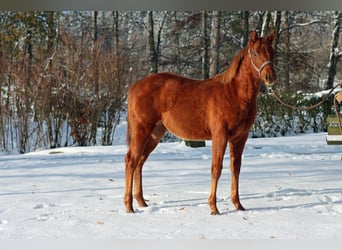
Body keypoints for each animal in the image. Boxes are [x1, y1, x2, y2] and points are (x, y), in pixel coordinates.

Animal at [124, 30, 276, 215]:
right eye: (255, 53)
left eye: (272, 52)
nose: (270, 77)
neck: (233, 93)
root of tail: (135, 86)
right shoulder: (220, 136)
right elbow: (216, 168)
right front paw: (213, 207)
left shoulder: (240, 138)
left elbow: (236, 168)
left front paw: (238, 205)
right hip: (142, 131)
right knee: (131, 161)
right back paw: (129, 206)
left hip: (155, 134)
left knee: (139, 162)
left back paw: (141, 202)